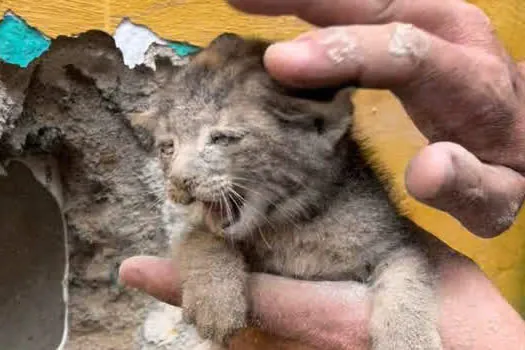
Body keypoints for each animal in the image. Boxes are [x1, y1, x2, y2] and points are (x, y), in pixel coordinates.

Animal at [140, 32, 446, 350]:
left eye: (223, 138)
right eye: (167, 148)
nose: (178, 180)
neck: (294, 227)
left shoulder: (397, 242)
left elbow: (408, 276)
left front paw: (409, 338)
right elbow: (198, 236)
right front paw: (214, 299)